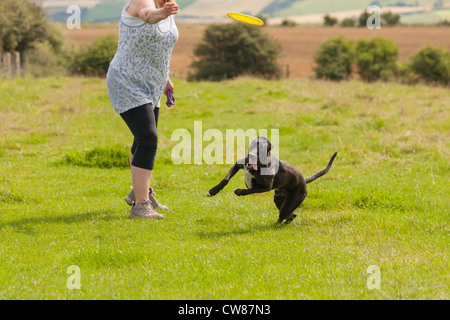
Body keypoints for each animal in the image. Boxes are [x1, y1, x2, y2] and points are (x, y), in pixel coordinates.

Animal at [206, 138, 336, 225]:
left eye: (262, 148)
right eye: (252, 144)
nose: (251, 154)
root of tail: (304, 180)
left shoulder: (266, 187)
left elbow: (249, 190)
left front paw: (239, 191)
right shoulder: (237, 165)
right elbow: (225, 179)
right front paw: (213, 191)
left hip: (291, 202)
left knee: (287, 214)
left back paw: (279, 224)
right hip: (279, 199)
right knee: (290, 215)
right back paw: (280, 223)